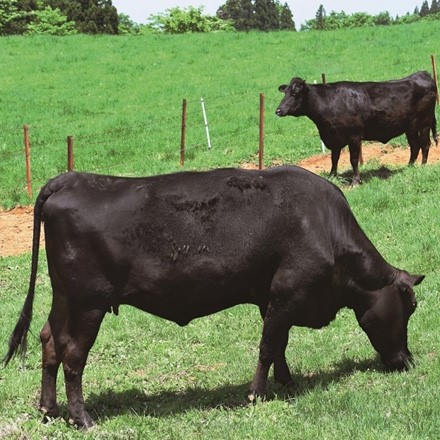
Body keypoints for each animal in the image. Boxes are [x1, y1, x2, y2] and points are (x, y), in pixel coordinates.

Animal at [3, 167, 422, 428]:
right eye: (411, 306)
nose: (407, 361)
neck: (323, 227)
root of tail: (70, 179)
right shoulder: (288, 292)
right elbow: (268, 346)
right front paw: (256, 395)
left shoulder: (272, 298)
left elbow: (279, 343)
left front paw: (286, 383)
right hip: (89, 303)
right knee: (73, 354)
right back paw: (82, 418)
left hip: (65, 298)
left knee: (49, 341)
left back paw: (48, 409)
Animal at [276, 71, 438, 185]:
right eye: (285, 92)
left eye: (295, 93)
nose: (278, 110)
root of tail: (421, 74)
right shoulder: (334, 138)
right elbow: (334, 159)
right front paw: (332, 176)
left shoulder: (353, 136)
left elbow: (353, 159)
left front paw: (355, 181)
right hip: (410, 128)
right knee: (415, 145)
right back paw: (409, 166)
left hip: (424, 123)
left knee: (425, 144)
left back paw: (423, 166)